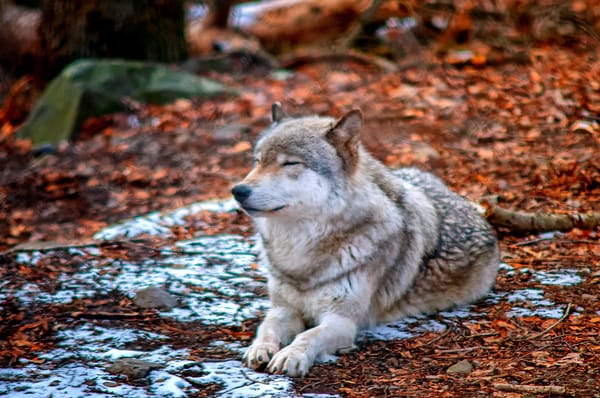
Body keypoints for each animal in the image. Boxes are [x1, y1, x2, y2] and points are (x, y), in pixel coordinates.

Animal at [230, 102, 496, 376]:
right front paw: (259, 349)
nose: (238, 191)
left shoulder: (342, 321)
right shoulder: (283, 308)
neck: (300, 252)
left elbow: (308, 336)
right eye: (257, 161)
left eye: (290, 163)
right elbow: (266, 327)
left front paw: (291, 355)